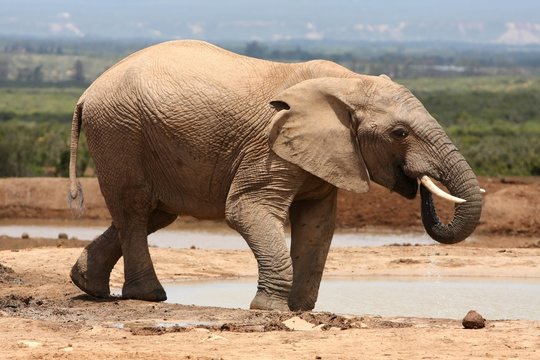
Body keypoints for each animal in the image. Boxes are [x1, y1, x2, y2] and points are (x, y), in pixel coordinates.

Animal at [68, 38, 486, 310]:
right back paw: (148, 296)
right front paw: (270, 309)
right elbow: (247, 208)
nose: (420, 184)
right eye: (400, 133)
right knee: (135, 208)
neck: (349, 83)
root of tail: (86, 93)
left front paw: (300, 310)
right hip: (119, 131)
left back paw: (87, 284)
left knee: (155, 213)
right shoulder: (270, 144)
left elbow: (318, 223)